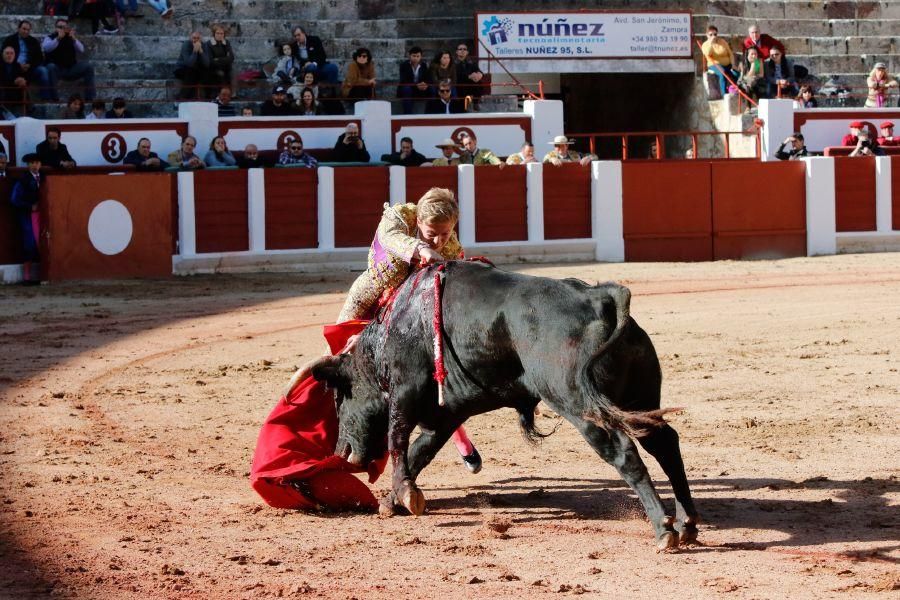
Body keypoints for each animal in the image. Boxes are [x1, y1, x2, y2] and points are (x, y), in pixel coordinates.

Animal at [312, 260, 700, 552]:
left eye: (339, 397)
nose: (342, 451)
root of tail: (597, 298)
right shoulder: (448, 413)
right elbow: (421, 451)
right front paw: (393, 502)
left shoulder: (406, 389)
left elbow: (399, 438)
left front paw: (405, 494)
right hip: (638, 398)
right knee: (665, 443)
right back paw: (687, 523)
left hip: (578, 402)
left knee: (624, 452)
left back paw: (663, 529)